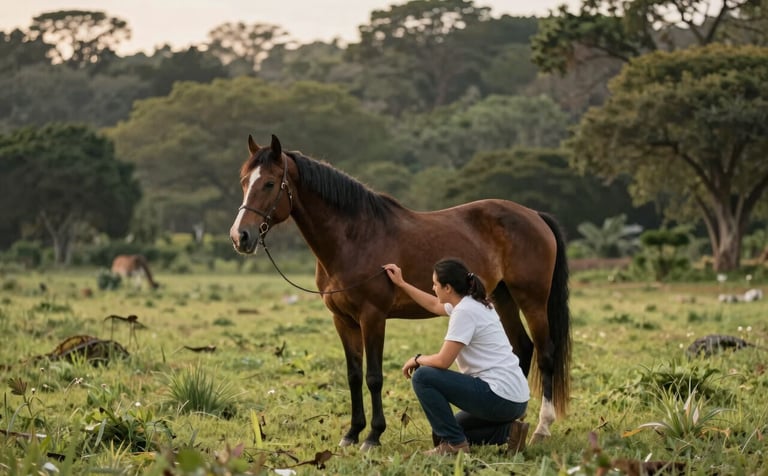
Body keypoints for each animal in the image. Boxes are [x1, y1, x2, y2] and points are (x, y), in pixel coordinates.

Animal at [230, 135, 571, 451]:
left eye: (270, 183)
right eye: (245, 181)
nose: (240, 236)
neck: (354, 238)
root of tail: (534, 215)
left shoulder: (373, 317)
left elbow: (374, 377)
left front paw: (373, 436)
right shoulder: (343, 321)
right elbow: (354, 376)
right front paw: (351, 434)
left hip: (532, 299)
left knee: (545, 353)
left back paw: (541, 428)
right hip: (501, 296)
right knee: (522, 347)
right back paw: (512, 422)